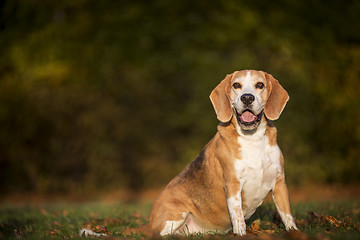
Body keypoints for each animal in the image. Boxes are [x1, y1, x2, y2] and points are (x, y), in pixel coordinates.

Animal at [145, 69, 296, 236]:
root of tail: (149, 222)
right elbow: (238, 217)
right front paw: (240, 235)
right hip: (176, 213)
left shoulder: (279, 183)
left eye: (260, 85)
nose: (247, 98)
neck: (252, 138)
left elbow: (287, 215)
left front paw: (294, 231)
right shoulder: (233, 185)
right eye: (236, 85)